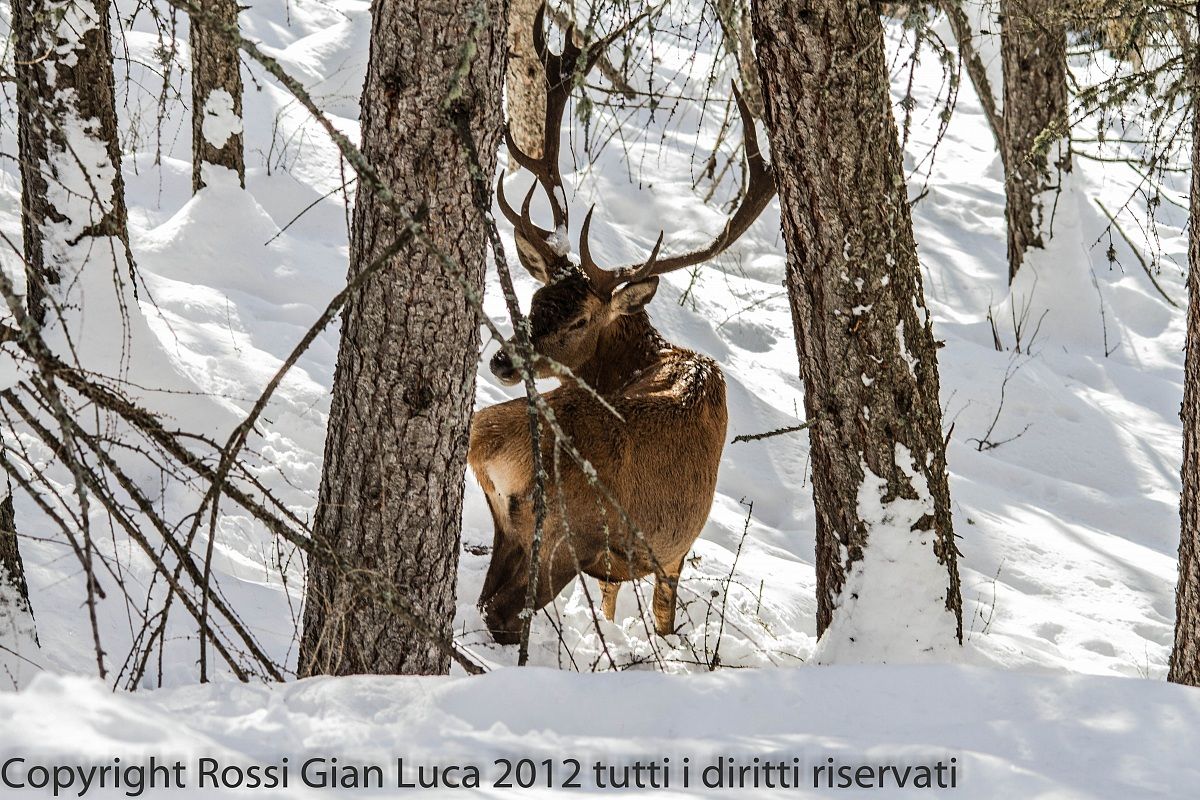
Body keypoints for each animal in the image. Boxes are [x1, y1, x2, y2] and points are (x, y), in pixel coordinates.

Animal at [469, 7, 775, 646]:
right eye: (537, 298)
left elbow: (610, 603)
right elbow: (661, 615)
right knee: (502, 614)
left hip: (515, 531)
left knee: (487, 602)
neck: (650, 360)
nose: (502, 359)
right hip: (567, 539)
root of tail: (495, 448)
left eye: (577, 315)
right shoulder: (671, 551)